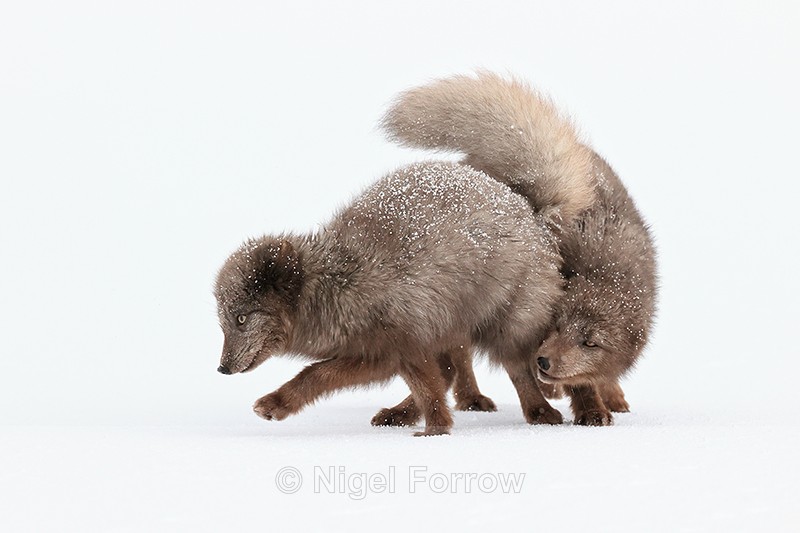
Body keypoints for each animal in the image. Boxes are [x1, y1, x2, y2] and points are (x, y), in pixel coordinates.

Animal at [214, 112, 596, 435]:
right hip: (450, 325)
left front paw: (436, 430)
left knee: (515, 369)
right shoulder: (391, 350)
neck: (340, 280)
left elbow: (317, 373)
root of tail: (530, 210)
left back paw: (541, 413)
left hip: (505, 323)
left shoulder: (395, 346)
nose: (221, 369)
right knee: (450, 370)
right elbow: (421, 383)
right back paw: (400, 414)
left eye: (241, 319)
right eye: (223, 323)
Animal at [375, 72, 657, 426]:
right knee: (464, 360)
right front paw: (591, 409)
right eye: (557, 326)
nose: (545, 361)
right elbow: (573, 383)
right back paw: (477, 398)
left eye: (590, 343)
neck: (606, 267)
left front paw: (605, 395)